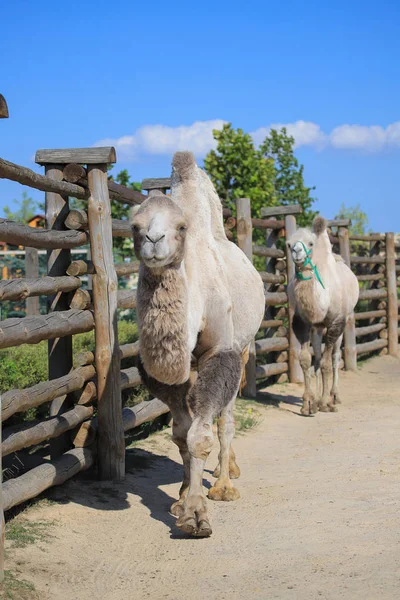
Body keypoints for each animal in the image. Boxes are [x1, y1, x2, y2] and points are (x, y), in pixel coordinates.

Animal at [130, 152, 266, 536]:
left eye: (181, 227)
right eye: (134, 226)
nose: (154, 238)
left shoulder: (221, 351)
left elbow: (200, 436)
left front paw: (197, 514)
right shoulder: (162, 371)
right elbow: (181, 435)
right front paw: (181, 499)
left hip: (244, 347)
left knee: (226, 417)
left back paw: (224, 482)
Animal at [288, 216, 360, 418]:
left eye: (310, 243)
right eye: (288, 244)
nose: (297, 252)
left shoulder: (336, 322)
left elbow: (328, 363)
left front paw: (327, 403)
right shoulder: (302, 321)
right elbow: (306, 360)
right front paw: (308, 404)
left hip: (343, 322)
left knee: (335, 357)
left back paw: (333, 397)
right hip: (318, 328)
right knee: (318, 358)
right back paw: (320, 399)